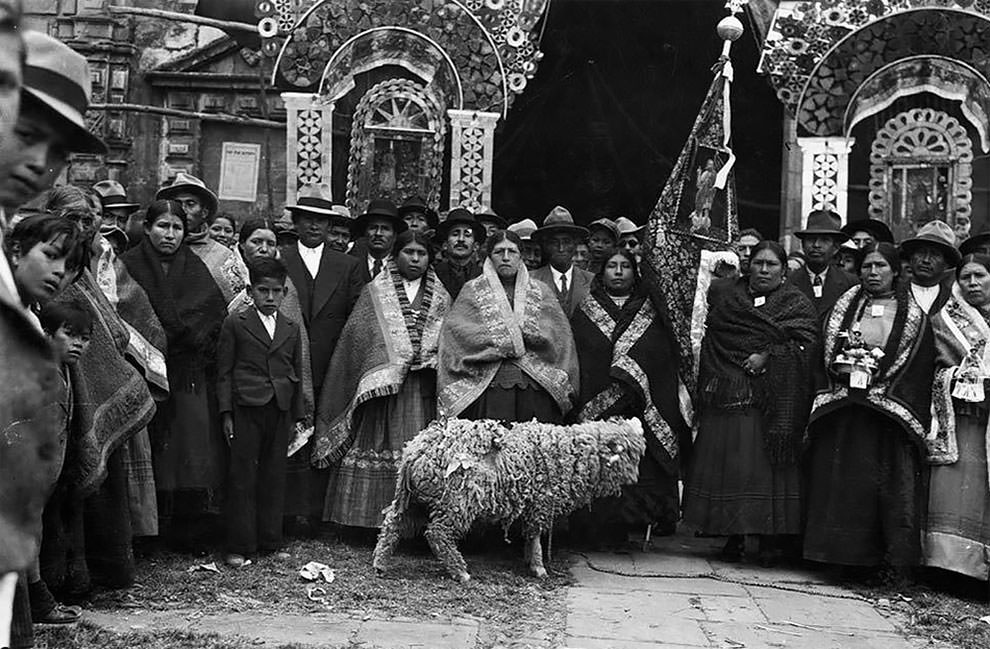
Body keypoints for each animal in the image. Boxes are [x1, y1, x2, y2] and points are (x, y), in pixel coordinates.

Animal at [370, 418, 644, 580]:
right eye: (629, 455)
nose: (635, 480)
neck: (566, 451)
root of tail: (414, 452)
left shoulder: (532, 504)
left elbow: (530, 536)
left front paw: (529, 561)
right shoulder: (540, 503)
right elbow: (535, 536)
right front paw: (538, 567)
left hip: (414, 499)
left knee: (392, 524)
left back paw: (380, 563)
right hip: (455, 501)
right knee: (437, 534)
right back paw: (460, 572)